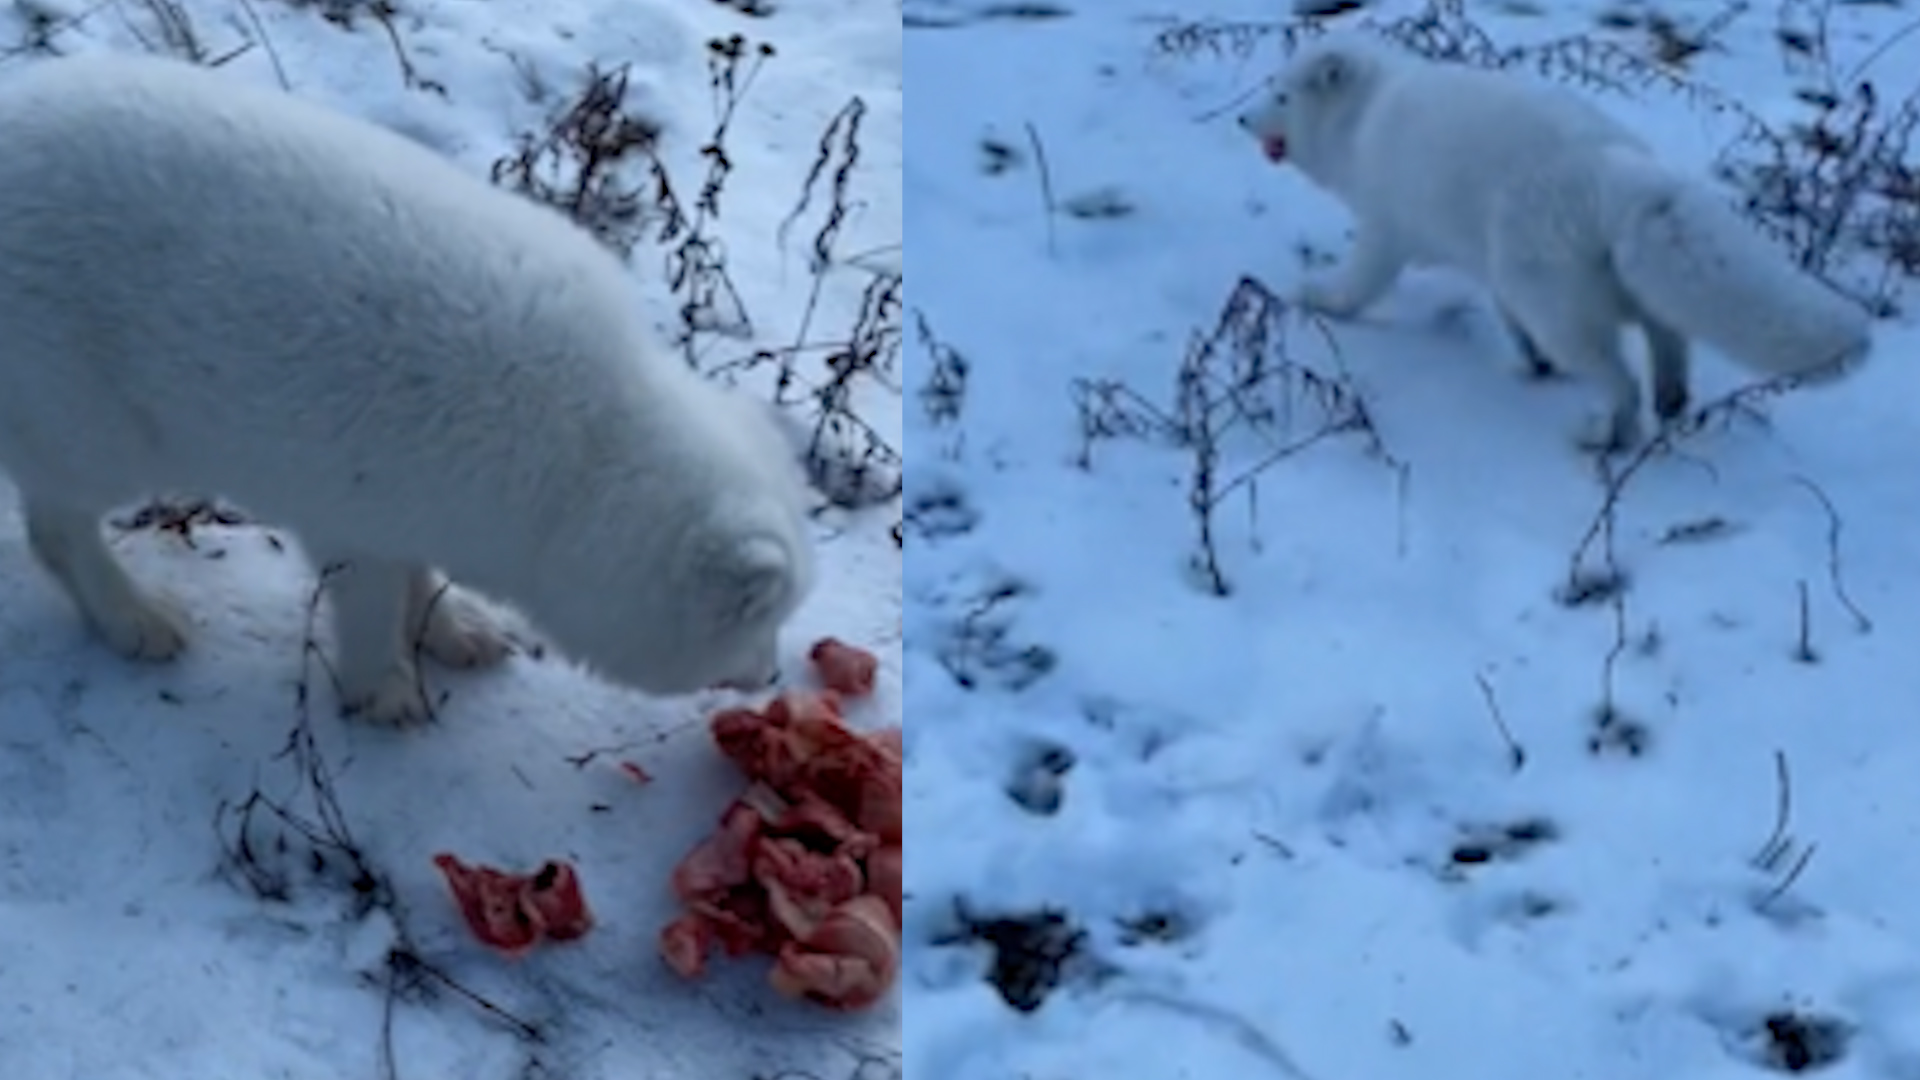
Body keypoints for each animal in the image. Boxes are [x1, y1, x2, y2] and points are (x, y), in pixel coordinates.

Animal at [0, 52, 817, 722]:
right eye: (760, 626)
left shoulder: (421, 507)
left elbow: (420, 580)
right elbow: (370, 606)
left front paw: (456, 634)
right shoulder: (353, 522)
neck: (586, 458)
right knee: (58, 529)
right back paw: (135, 619)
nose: (772, 677)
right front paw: (386, 694)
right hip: (88, 428)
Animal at [1236, 32, 1866, 445]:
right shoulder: (1492, 273)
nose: (1242, 120)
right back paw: (1669, 397)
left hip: (1556, 301)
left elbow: (1361, 280)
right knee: (1666, 330)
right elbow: (1508, 318)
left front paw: (1321, 298)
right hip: (1577, 280)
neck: (1364, 118)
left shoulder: (1387, 229)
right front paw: (1530, 360)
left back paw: (1607, 434)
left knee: (1619, 377)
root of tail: (1614, 167)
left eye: (1283, 96)